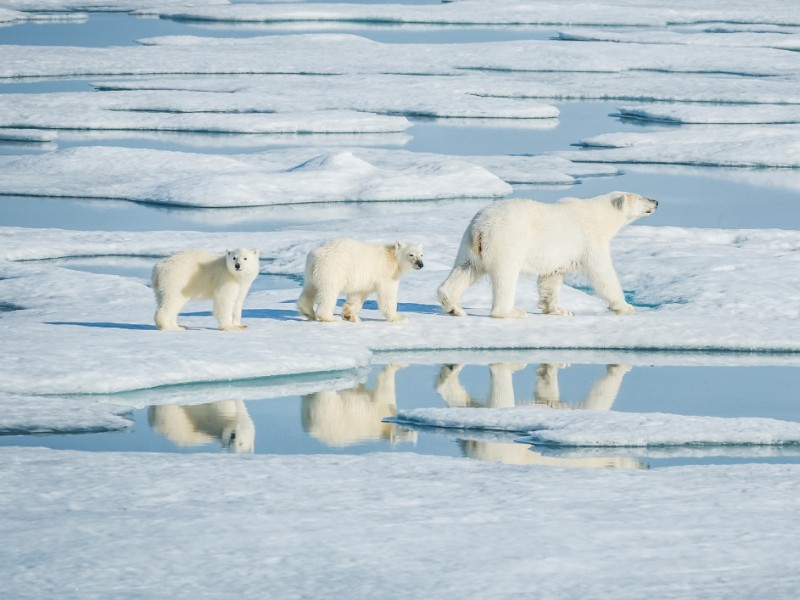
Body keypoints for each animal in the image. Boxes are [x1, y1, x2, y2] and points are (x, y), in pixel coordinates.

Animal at [296, 239, 424, 324]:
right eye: (411, 254)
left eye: (421, 254)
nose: (420, 264)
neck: (393, 257)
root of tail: (316, 255)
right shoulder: (386, 274)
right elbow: (387, 295)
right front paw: (399, 317)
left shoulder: (364, 281)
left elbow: (357, 296)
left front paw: (351, 316)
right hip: (332, 269)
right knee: (328, 292)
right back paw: (330, 317)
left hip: (311, 272)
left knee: (310, 289)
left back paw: (308, 312)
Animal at [438, 192, 656, 318]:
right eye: (640, 197)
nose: (656, 201)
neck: (600, 216)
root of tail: (480, 228)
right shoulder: (589, 240)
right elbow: (602, 273)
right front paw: (625, 306)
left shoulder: (558, 256)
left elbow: (551, 278)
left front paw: (560, 310)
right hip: (507, 240)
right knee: (505, 276)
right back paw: (511, 312)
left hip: (469, 244)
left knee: (465, 269)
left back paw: (452, 306)